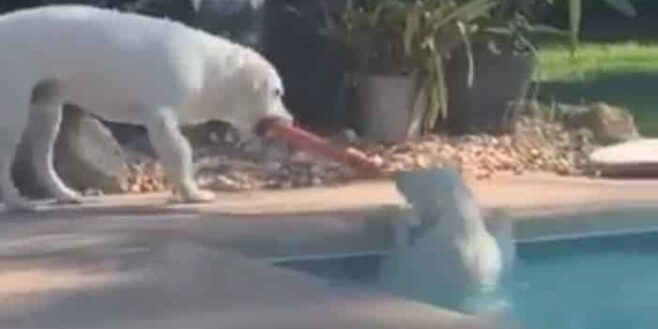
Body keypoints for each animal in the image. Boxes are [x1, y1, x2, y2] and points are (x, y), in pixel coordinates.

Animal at [0, 5, 292, 211]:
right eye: (276, 92)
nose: (289, 122)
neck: (212, 71)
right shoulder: (161, 117)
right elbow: (180, 153)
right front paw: (192, 193)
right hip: (12, 112)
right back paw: (17, 202)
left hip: (47, 109)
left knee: (40, 158)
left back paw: (64, 195)